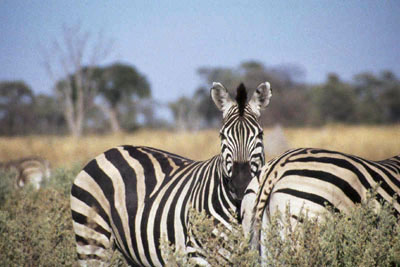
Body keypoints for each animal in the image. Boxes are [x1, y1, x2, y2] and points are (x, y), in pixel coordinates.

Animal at [70, 82, 274, 266]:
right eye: (222, 136)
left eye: (260, 135)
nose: (241, 185)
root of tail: (108, 151)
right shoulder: (197, 254)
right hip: (92, 240)